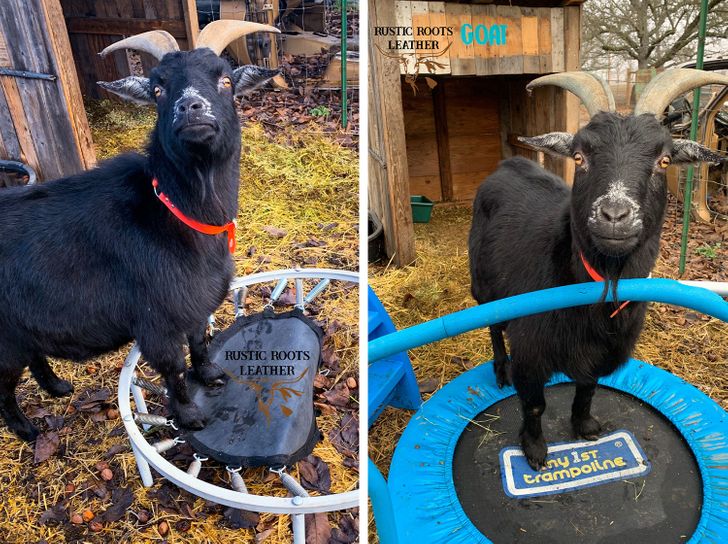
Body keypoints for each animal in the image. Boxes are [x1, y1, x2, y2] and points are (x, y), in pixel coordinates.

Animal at [0, 21, 280, 442]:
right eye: (158, 89)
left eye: (226, 79)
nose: (190, 107)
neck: (176, 213)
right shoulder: (157, 320)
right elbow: (174, 368)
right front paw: (190, 415)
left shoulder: (193, 303)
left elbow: (200, 343)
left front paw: (212, 375)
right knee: (2, 388)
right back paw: (27, 430)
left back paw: (58, 387)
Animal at [470, 69, 724, 468]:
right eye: (579, 156)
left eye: (665, 160)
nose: (615, 215)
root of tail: (508, 165)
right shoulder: (530, 351)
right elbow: (535, 405)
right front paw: (535, 450)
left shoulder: (604, 354)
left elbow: (587, 388)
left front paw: (585, 426)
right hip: (483, 283)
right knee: (494, 324)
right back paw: (499, 369)